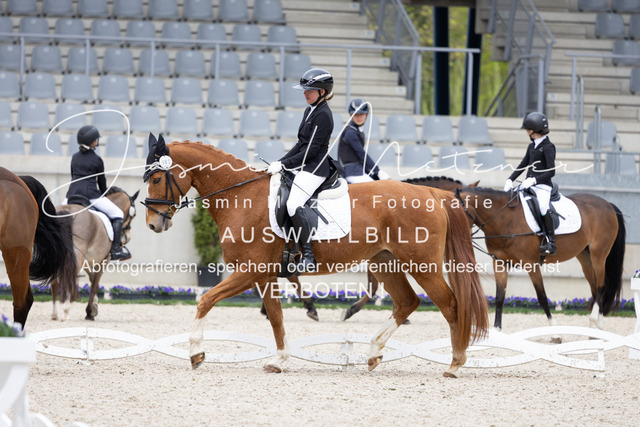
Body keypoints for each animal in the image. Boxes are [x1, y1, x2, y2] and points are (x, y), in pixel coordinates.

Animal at [50, 187, 139, 321]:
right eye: (133, 215)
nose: (127, 238)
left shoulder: (88, 260)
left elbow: (92, 279)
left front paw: (95, 306)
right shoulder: (103, 261)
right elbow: (94, 284)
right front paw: (89, 312)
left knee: (54, 283)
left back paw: (55, 314)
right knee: (68, 278)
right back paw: (66, 311)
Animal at [456, 186, 625, 330]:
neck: (505, 220)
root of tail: (608, 205)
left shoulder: (532, 265)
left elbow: (542, 297)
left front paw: (555, 331)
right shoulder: (500, 263)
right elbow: (499, 297)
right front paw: (497, 329)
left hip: (599, 255)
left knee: (602, 285)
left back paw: (595, 321)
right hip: (585, 257)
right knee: (595, 288)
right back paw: (595, 327)